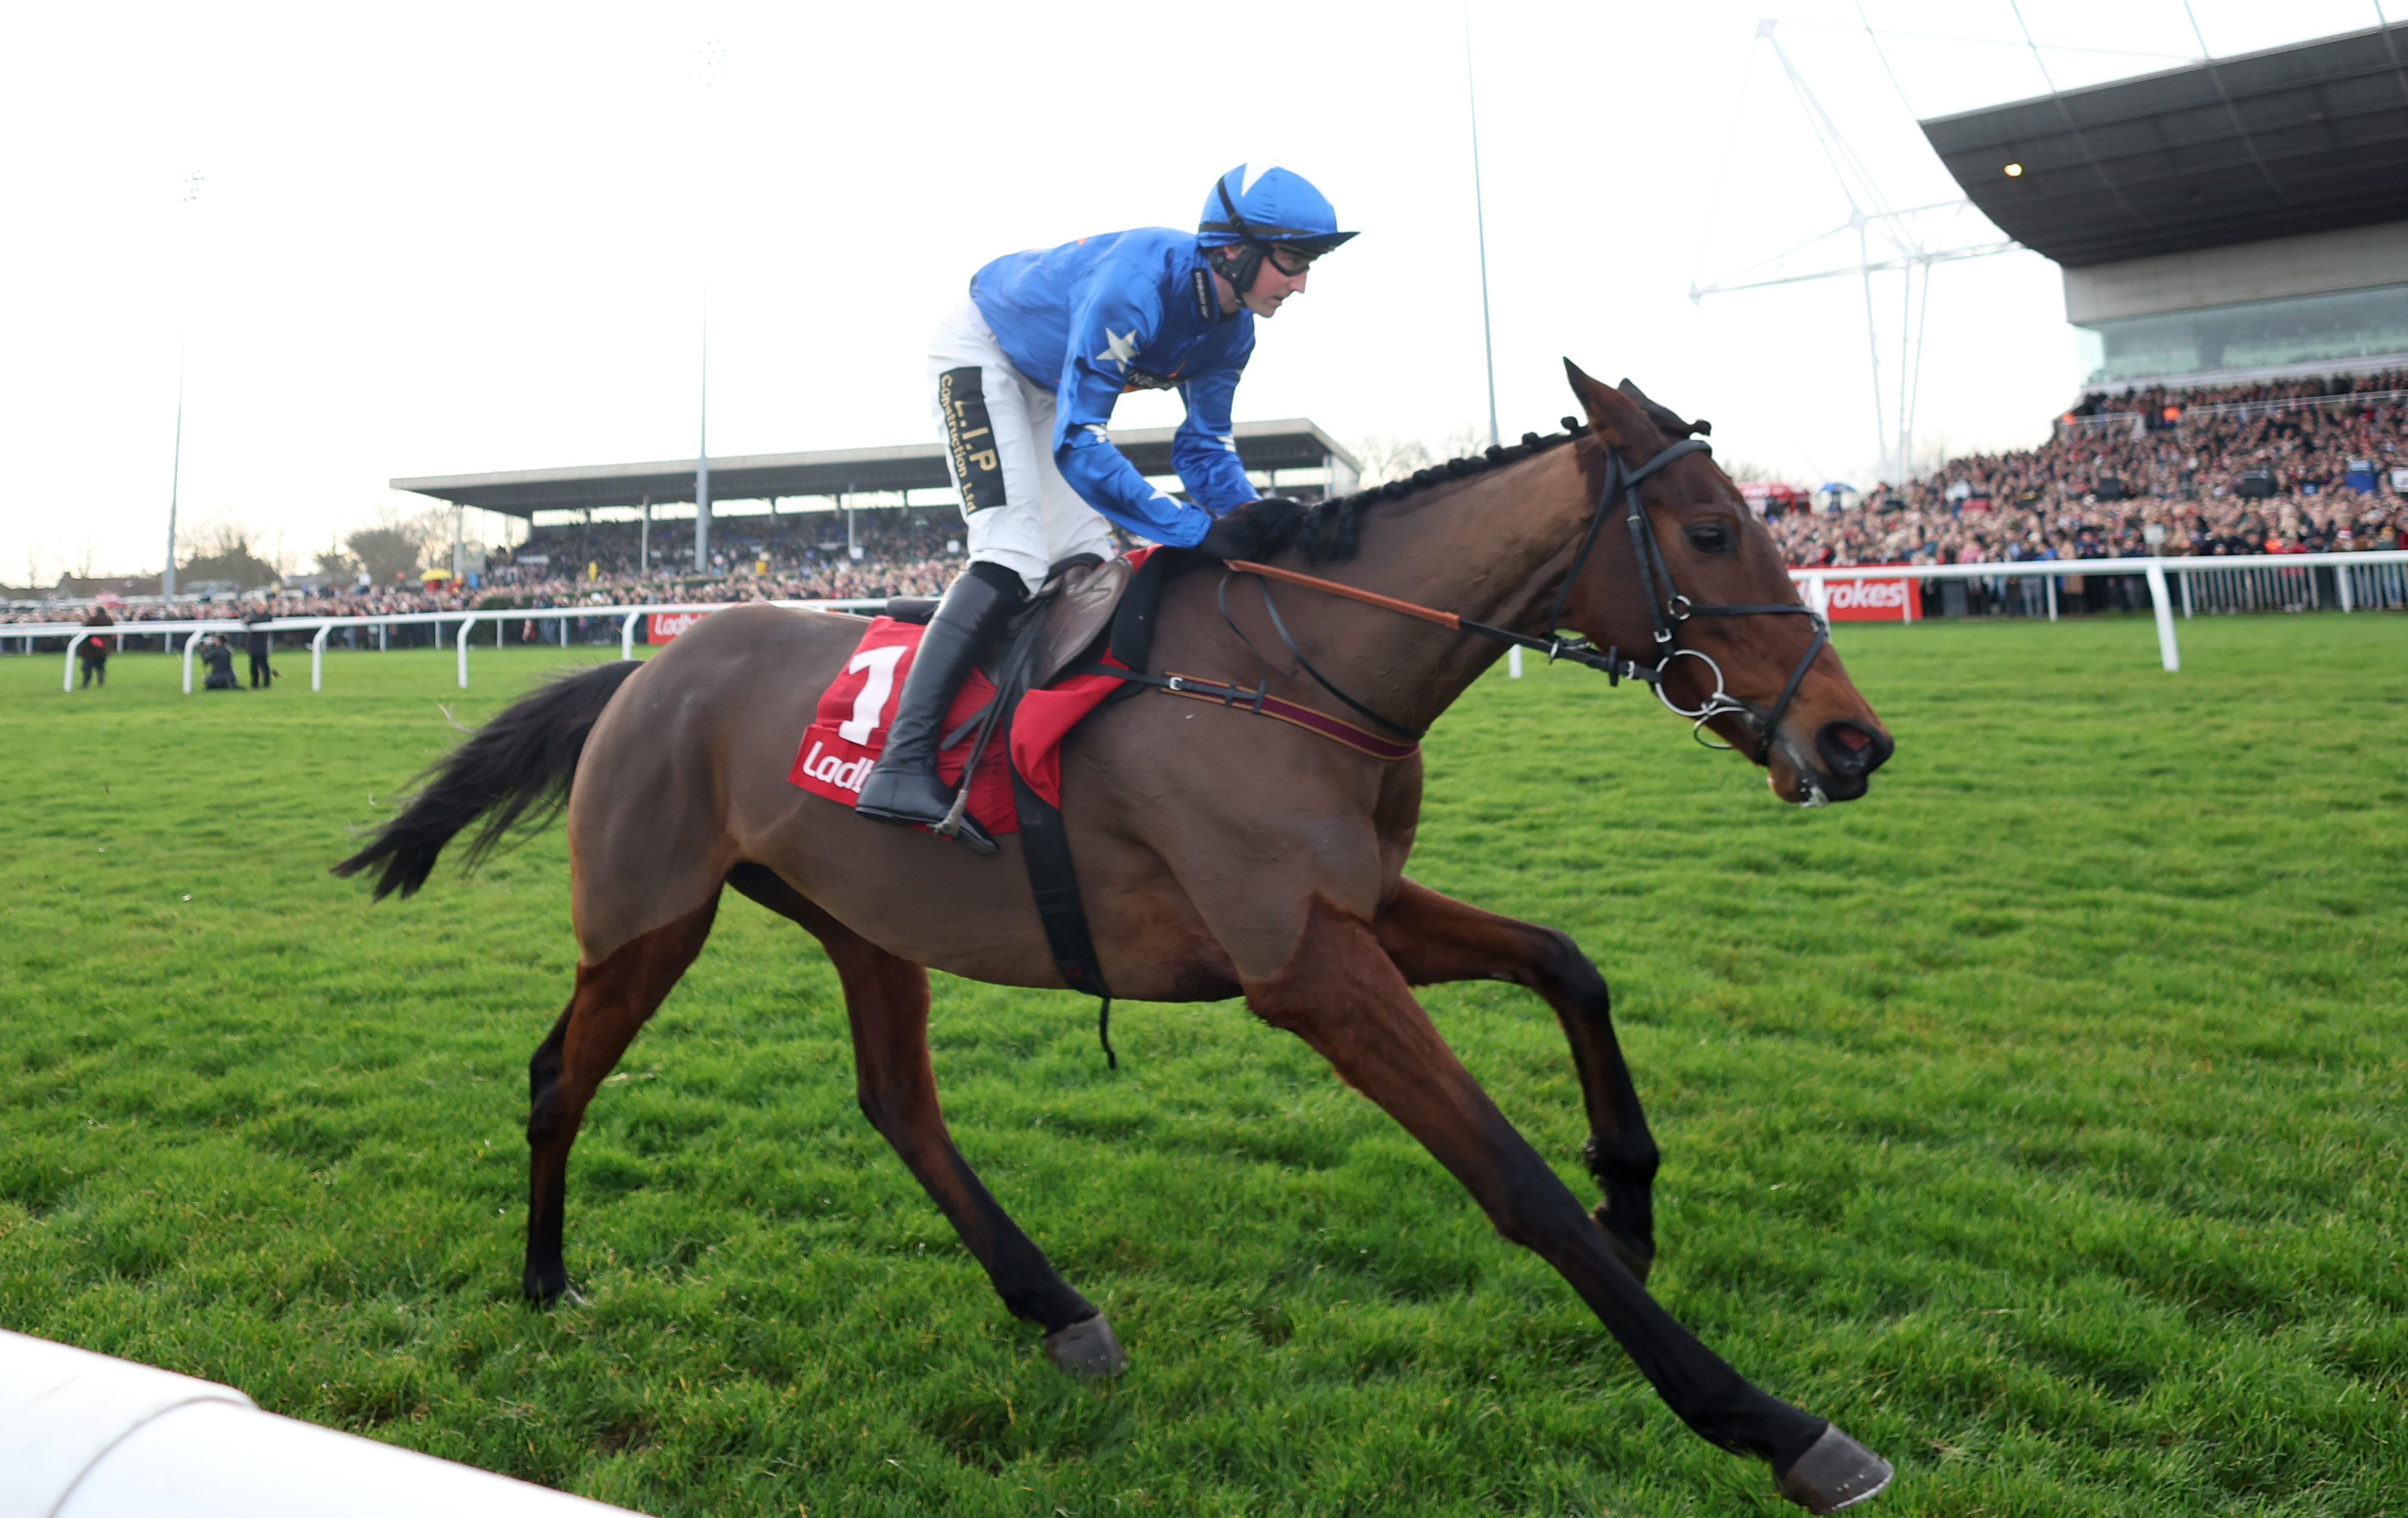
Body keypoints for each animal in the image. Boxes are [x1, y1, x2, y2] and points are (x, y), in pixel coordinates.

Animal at [339, 365, 1897, 1510]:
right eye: (1712, 531)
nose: (1854, 739)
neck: (1290, 671)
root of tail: (643, 667)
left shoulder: (1354, 907)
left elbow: (1568, 956)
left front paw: (1632, 1195)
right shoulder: (1304, 964)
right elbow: (1510, 1176)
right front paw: (1768, 1419)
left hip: (862, 917)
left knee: (898, 1101)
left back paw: (1055, 1305)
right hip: (647, 916)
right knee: (562, 1072)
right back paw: (547, 1278)